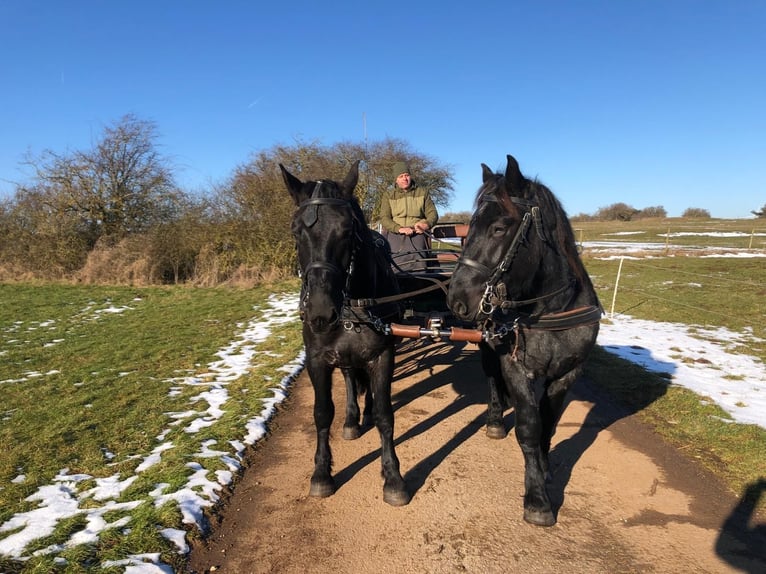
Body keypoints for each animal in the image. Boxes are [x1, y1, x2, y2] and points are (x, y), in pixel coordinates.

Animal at [282, 160, 412, 506]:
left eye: (347, 229)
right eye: (296, 230)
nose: (319, 312)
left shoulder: (383, 355)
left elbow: (384, 414)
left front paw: (393, 477)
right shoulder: (317, 359)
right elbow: (322, 413)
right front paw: (321, 474)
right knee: (351, 378)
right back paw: (353, 419)